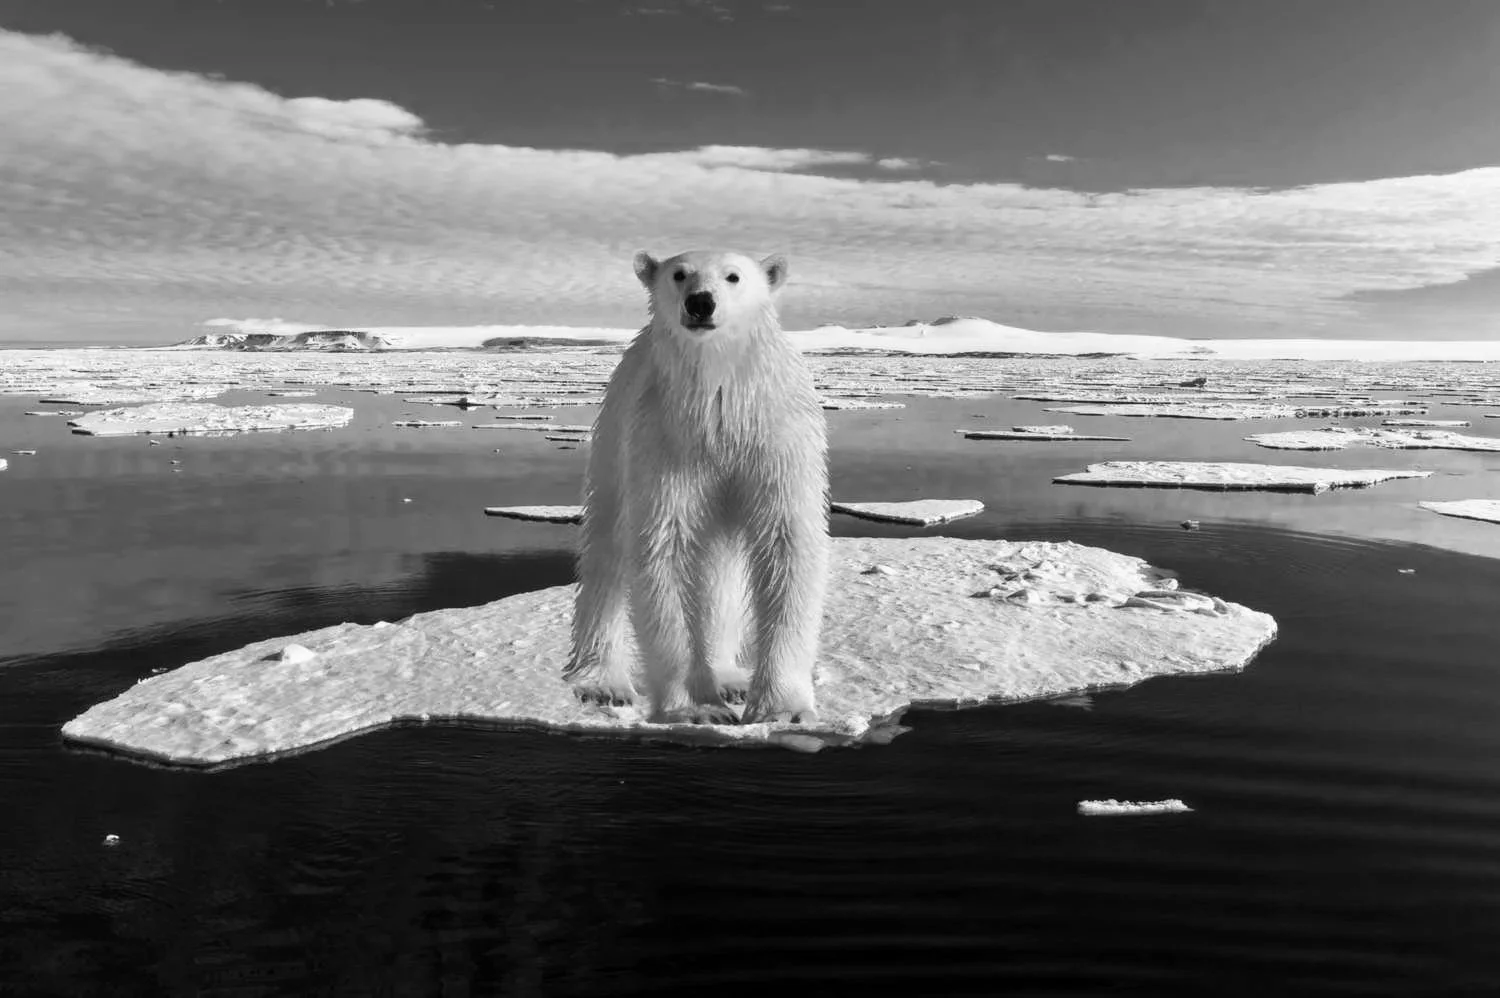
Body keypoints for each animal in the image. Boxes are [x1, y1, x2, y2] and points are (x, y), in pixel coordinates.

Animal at [563, 248, 831, 726]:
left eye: (733, 276)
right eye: (679, 273)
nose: (701, 302)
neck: (720, 409)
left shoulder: (776, 439)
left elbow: (787, 546)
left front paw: (781, 708)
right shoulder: (664, 442)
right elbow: (664, 550)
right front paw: (697, 708)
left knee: (721, 565)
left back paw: (730, 677)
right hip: (613, 433)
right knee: (606, 549)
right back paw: (602, 682)